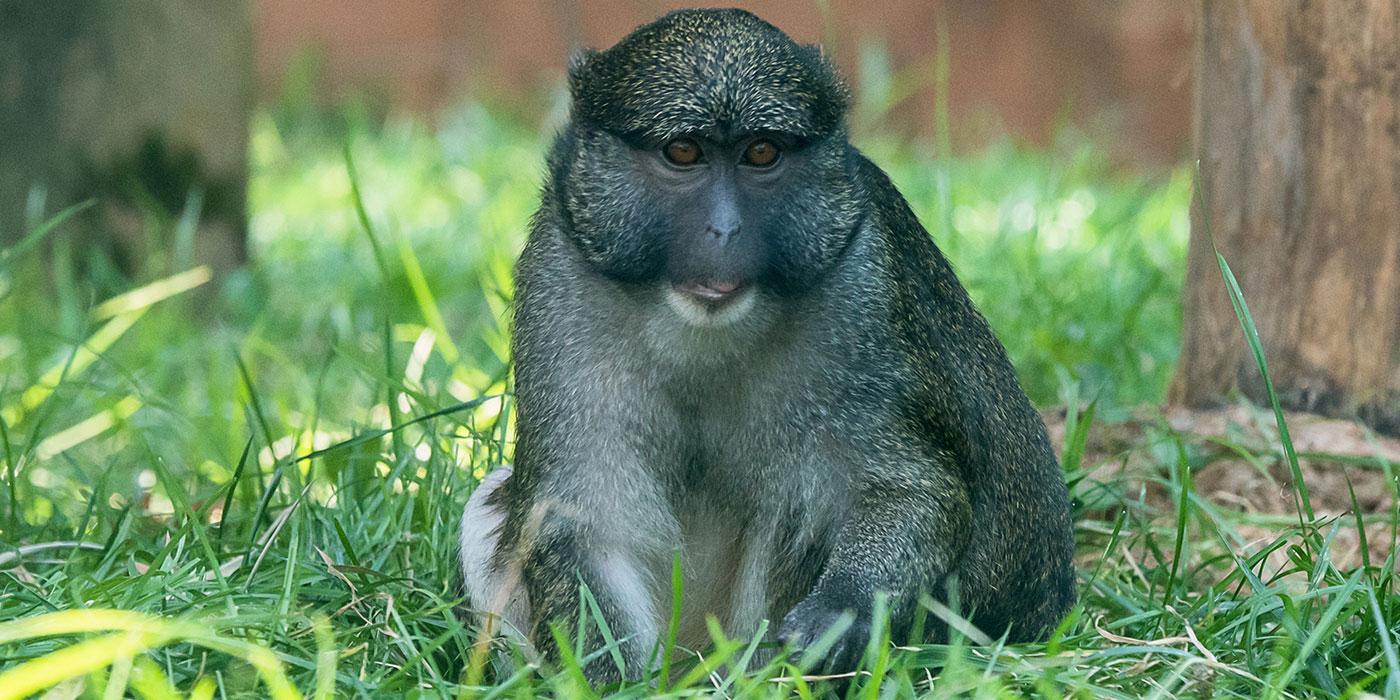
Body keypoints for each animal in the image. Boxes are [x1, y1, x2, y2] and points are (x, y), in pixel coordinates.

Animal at [459, 6, 1069, 683]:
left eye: (761, 153)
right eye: (683, 151)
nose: (725, 230)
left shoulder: (863, 287)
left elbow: (914, 493)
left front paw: (840, 609)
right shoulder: (559, 277)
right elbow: (586, 526)